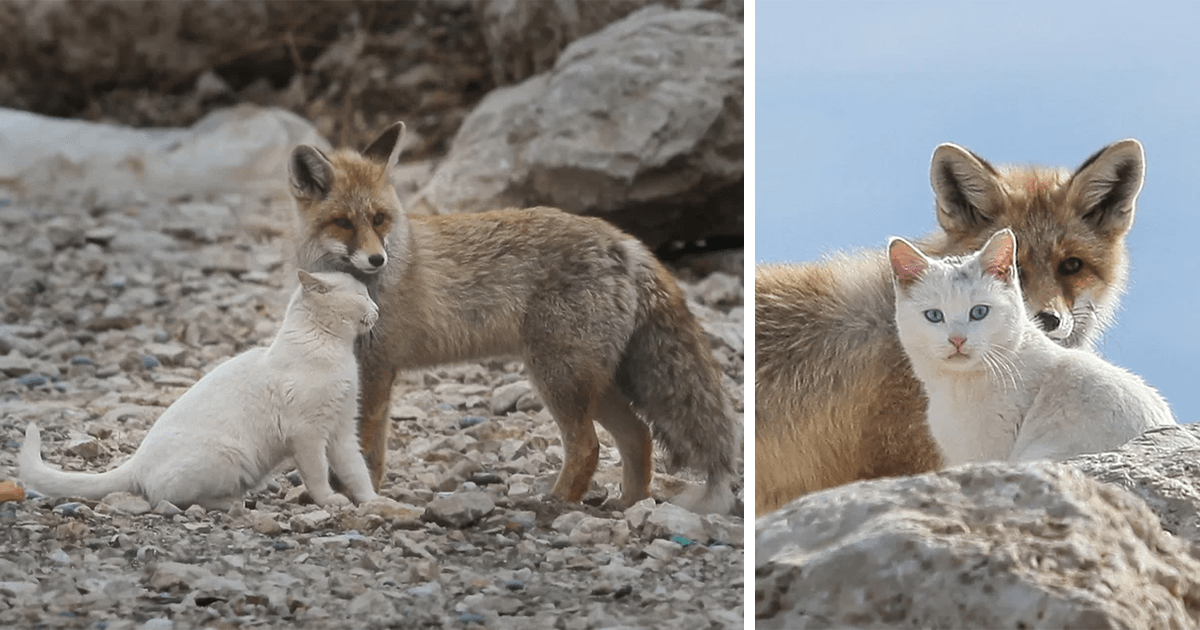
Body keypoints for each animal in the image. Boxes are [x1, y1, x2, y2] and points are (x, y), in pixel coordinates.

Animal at [21, 270, 381, 511]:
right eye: (362, 295)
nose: (377, 309)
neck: (334, 351)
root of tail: (136, 461)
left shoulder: (341, 430)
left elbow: (356, 471)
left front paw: (374, 501)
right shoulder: (307, 434)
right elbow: (318, 474)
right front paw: (331, 500)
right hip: (228, 456)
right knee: (167, 498)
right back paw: (231, 502)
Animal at [285, 121, 734, 511]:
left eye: (379, 219)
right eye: (343, 223)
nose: (377, 259)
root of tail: (624, 240)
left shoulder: (378, 370)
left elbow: (365, 450)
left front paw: (363, 496)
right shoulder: (371, 370)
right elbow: (361, 448)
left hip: (558, 377)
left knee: (588, 446)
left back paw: (555, 503)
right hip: (589, 380)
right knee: (638, 436)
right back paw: (629, 505)